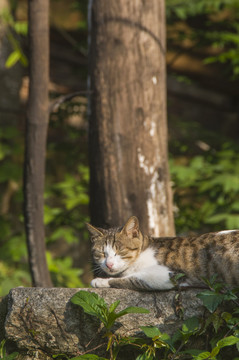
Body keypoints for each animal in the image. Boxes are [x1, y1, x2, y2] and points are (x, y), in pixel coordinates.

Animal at [87, 215, 239, 292]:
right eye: (101, 253)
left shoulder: (168, 275)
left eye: (120, 250)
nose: (109, 264)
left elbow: (130, 278)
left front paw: (101, 281)